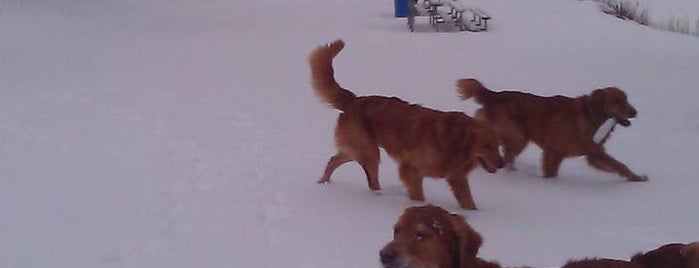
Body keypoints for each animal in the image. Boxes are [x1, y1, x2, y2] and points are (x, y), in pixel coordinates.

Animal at [310, 40, 504, 211]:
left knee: (334, 160)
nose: (502, 164)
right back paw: (377, 197)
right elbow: (418, 196)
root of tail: (354, 100)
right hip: (369, 151)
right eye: (486, 146)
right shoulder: (411, 168)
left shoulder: (457, 178)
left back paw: (323, 183)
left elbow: (469, 203)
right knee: (371, 179)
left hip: (358, 149)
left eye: (498, 145)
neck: (454, 141)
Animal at [456, 78, 648, 182]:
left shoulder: (594, 153)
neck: (589, 115)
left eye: (626, 99)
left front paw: (635, 177)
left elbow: (618, 165)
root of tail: (493, 94)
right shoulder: (554, 151)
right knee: (507, 154)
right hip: (518, 137)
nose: (635, 112)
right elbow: (551, 173)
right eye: (617, 101)